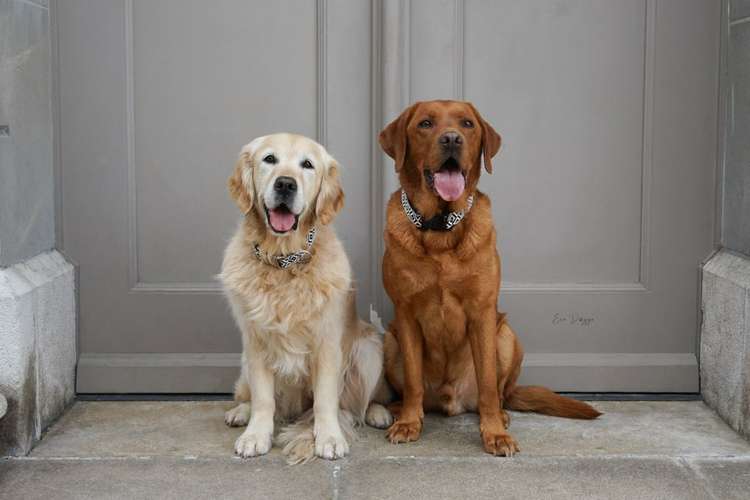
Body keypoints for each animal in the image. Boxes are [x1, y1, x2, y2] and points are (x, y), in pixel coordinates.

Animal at [222, 134, 394, 464]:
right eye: (270, 159)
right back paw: (240, 412)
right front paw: (256, 435)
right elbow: (263, 399)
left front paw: (329, 438)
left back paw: (378, 413)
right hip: (244, 360)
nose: (285, 184)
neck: (284, 259)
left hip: (370, 349)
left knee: (360, 403)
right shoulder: (256, 341)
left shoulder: (327, 343)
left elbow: (326, 400)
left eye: (307, 164)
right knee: (251, 396)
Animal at [378, 100, 604, 458]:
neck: (440, 230)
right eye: (425, 124)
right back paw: (401, 410)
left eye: (467, 124)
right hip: (389, 341)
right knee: (417, 391)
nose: (451, 139)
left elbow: (486, 383)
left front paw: (495, 434)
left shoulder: (482, 312)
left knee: (499, 394)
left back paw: (500, 415)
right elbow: (413, 380)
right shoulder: (406, 314)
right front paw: (409, 423)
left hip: (507, 336)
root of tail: (450, 401)